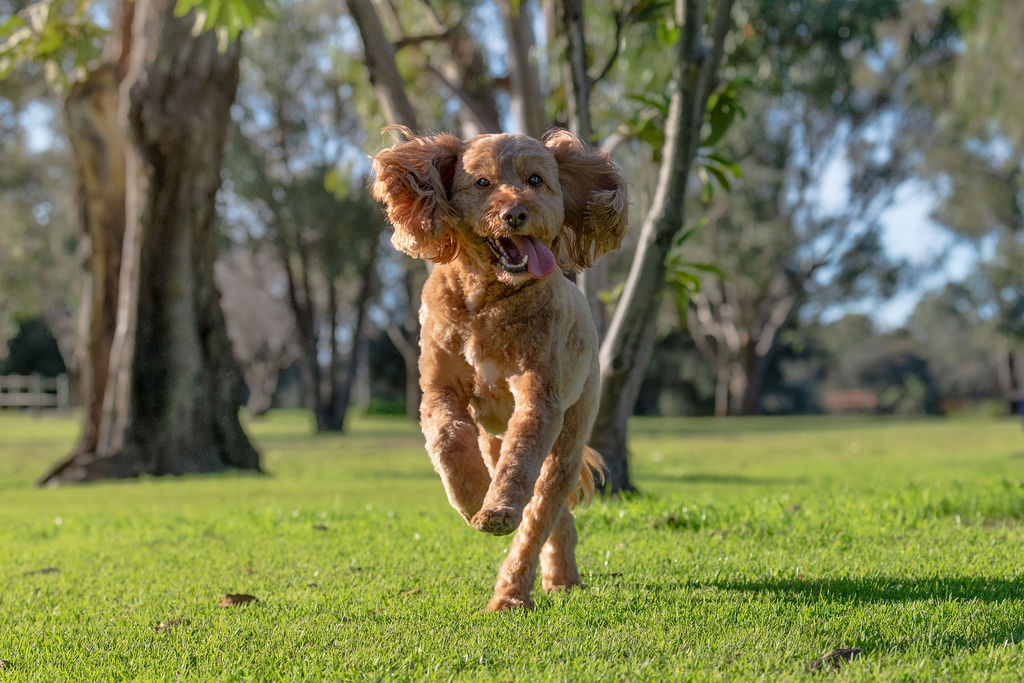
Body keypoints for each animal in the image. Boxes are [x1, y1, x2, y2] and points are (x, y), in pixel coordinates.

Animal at [372, 127, 626, 614]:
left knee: (540, 510)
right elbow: (448, 438)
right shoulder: (439, 387)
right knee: (548, 511)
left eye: (535, 179)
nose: (516, 213)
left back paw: (518, 591)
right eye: (482, 182)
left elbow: (519, 465)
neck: (487, 301)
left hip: (570, 434)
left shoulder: (538, 396)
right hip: (493, 434)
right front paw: (472, 497)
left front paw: (495, 508)